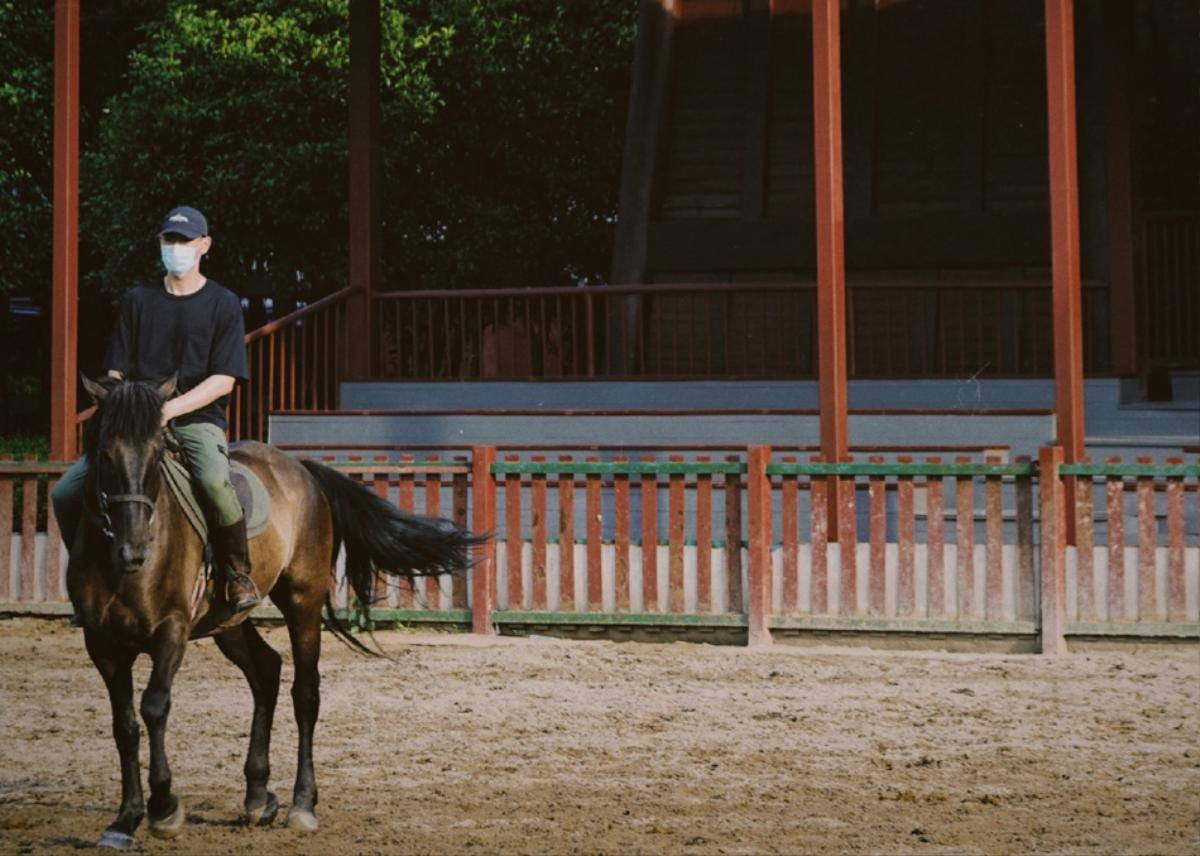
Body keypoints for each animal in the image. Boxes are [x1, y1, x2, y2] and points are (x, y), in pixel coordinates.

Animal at [68, 374, 480, 849]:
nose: (134, 551)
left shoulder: (171, 629)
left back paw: (302, 804)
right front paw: (125, 818)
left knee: (305, 693)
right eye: (104, 453)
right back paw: (257, 795)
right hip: (228, 621)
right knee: (265, 671)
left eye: (157, 453)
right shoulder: (102, 644)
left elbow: (154, 706)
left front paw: (164, 807)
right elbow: (124, 725)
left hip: (302, 601)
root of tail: (299, 467)